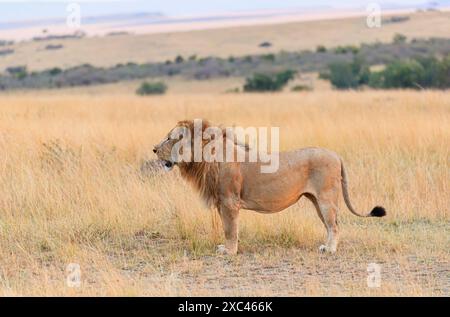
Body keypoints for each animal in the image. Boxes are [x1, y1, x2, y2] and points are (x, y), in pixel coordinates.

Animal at [153, 118, 384, 254]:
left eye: (169, 138)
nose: (154, 149)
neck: (206, 157)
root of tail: (336, 155)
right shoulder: (222, 202)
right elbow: (228, 228)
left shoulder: (229, 201)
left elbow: (230, 229)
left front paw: (229, 251)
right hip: (317, 201)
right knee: (331, 225)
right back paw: (325, 247)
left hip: (326, 199)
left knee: (334, 225)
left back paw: (330, 250)